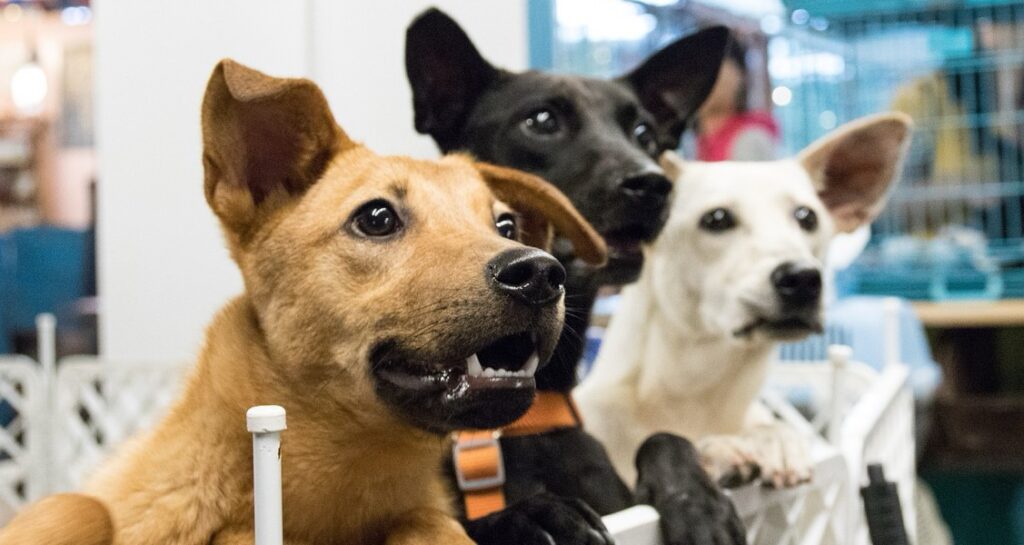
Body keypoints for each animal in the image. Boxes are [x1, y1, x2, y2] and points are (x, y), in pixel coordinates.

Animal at [0, 59, 602, 545]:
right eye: (377, 217)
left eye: (505, 225)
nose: (540, 274)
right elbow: (83, 510)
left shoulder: (416, 511)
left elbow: (428, 520)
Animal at [405, 8, 745, 545]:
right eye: (541, 121)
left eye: (645, 133)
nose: (653, 185)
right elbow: (462, 522)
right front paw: (531, 515)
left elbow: (663, 436)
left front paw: (700, 501)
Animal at [577, 112, 913, 487]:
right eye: (717, 218)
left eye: (807, 217)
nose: (802, 278)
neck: (698, 392)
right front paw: (718, 449)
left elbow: (770, 427)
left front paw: (774, 440)